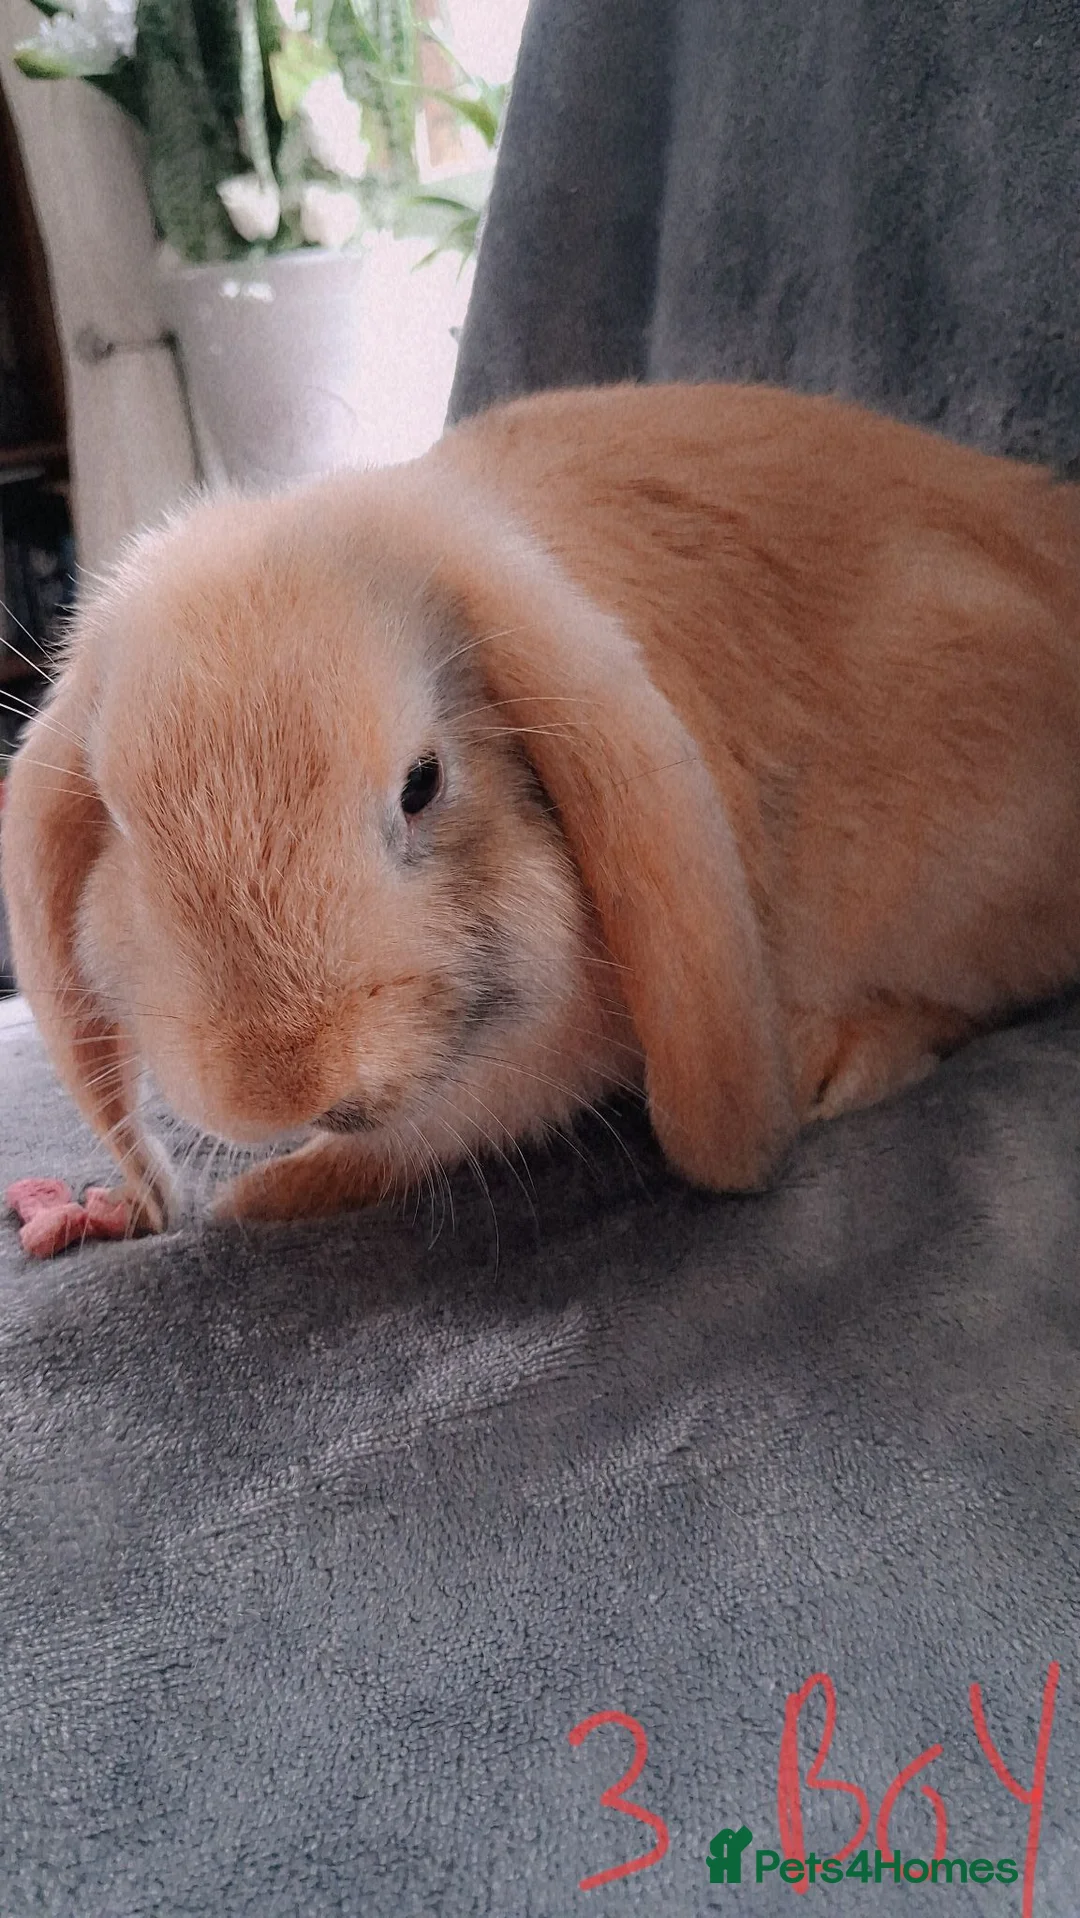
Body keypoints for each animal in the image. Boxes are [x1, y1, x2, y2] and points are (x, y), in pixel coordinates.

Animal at [4, 379, 1080, 1231]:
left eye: (423, 783)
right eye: (122, 820)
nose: (284, 1085)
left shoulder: (525, 1071)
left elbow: (418, 1142)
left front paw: (264, 1194)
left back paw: (831, 1064)